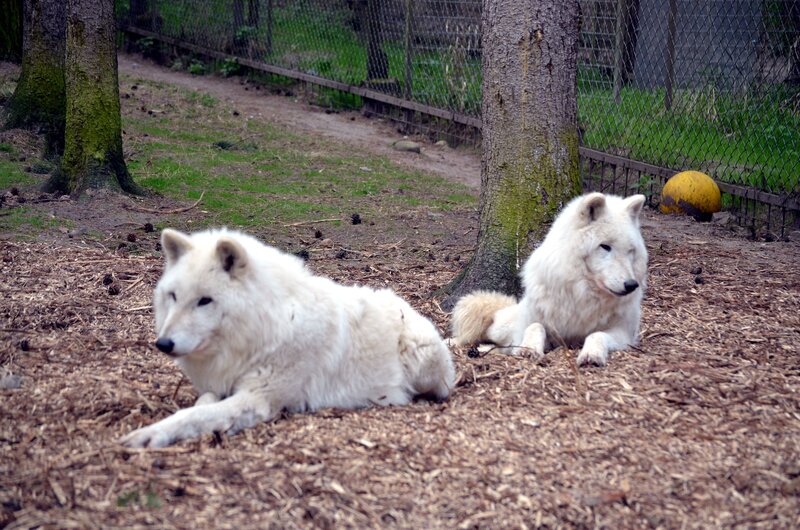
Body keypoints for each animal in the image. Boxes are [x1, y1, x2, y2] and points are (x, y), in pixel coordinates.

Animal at [120, 228, 455, 448]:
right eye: (173, 297)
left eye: (205, 301)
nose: (163, 344)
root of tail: (408, 306)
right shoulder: (219, 384)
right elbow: (198, 407)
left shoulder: (257, 399)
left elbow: (196, 415)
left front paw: (148, 435)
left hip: (421, 360)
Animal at [451, 192, 648, 367]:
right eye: (605, 246)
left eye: (630, 251)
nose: (631, 285)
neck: (582, 293)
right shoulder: (533, 328)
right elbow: (536, 326)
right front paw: (529, 349)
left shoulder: (623, 334)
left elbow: (596, 334)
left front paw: (591, 354)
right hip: (501, 328)